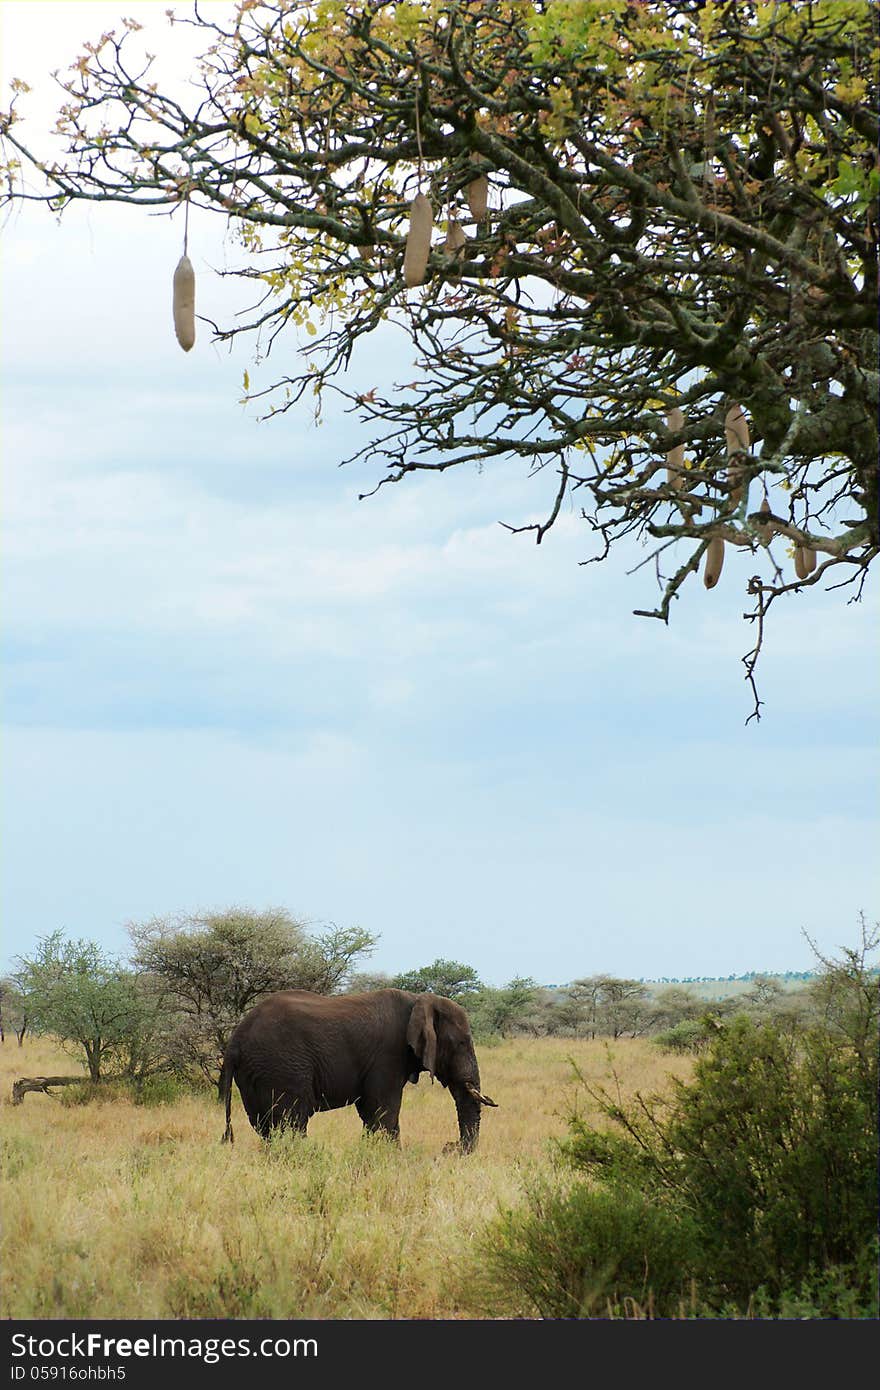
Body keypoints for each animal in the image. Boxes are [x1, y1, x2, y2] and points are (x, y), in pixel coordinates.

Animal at [218, 989, 494, 1150]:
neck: (419, 999)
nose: (450, 1147)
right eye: (462, 1043)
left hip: (257, 1073)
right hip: (282, 1065)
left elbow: (372, 1111)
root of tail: (235, 1040)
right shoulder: (387, 1055)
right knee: (291, 1120)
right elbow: (382, 1109)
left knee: (265, 1125)